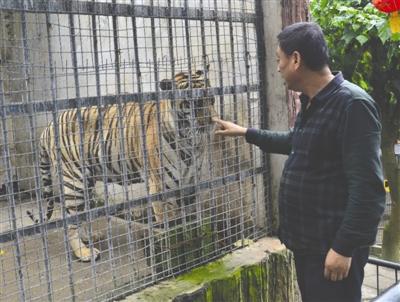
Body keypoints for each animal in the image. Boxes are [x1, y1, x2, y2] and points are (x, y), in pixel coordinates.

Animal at [27, 69, 217, 262]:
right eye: (195, 103)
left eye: (212, 99)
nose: (212, 121)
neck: (190, 141)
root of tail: (50, 125)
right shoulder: (161, 187)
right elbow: (172, 226)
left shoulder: (191, 185)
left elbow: (193, 221)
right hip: (74, 181)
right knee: (70, 222)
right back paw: (84, 252)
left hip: (86, 183)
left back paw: (89, 238)